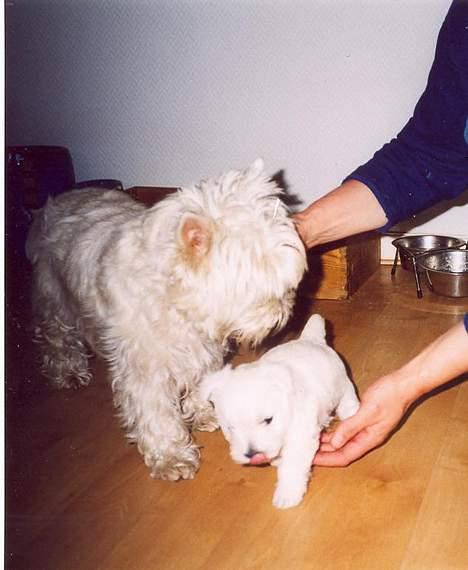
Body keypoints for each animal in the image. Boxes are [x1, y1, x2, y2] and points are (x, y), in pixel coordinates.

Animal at [25, 159, 306, 480]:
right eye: (258, 292)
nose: (284, 311)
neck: (173, 301)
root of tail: (51, 204)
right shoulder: (144, 367)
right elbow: (155, 413)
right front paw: (172, 458)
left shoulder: (202, 349)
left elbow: (202, 380)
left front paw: (206, 413)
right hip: (54, 299)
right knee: (57, 337)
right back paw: (69, 373)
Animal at [200, 312, 358, 508]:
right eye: (231, 428)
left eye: (268, 420)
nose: (251, 454)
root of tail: (311, 338)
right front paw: (276, 461)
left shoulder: (300, 435)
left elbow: (292, 466)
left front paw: (287, 494)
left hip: (342, 384)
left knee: (347, 398)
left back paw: (352, 412)